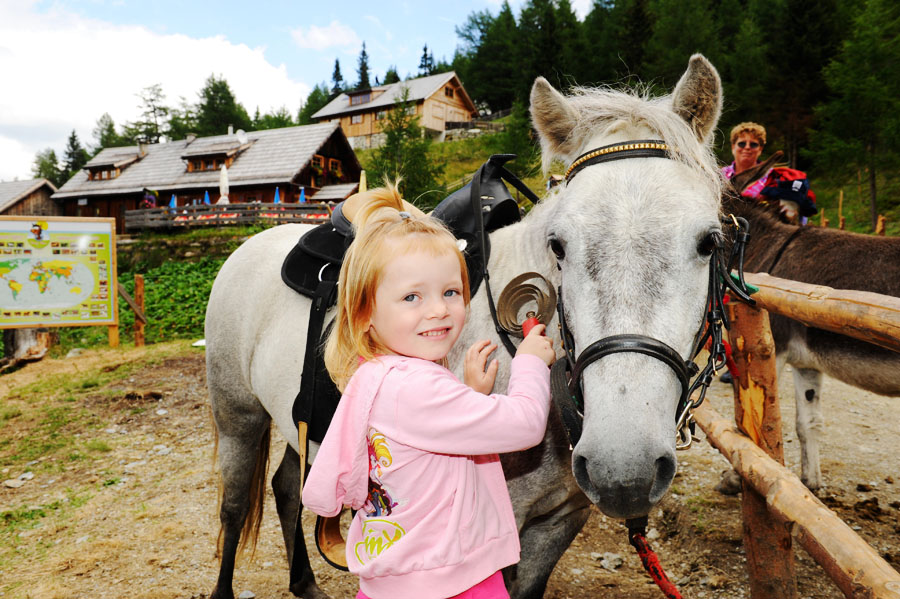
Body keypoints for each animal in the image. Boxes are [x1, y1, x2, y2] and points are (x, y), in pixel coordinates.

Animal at [205, 54, 726, 599]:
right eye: (558, 245)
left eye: (709, 241)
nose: (623, 467)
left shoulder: (559, 523)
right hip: (238, 415)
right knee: (235, 507)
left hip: (296, 423)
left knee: (288, 487)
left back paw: (305, 583)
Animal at [722, 177, 900, 491]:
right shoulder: (806, 364)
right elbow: (808, 423)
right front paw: (811, 482)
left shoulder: (773, 348)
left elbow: (751, 419)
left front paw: (736, 477)